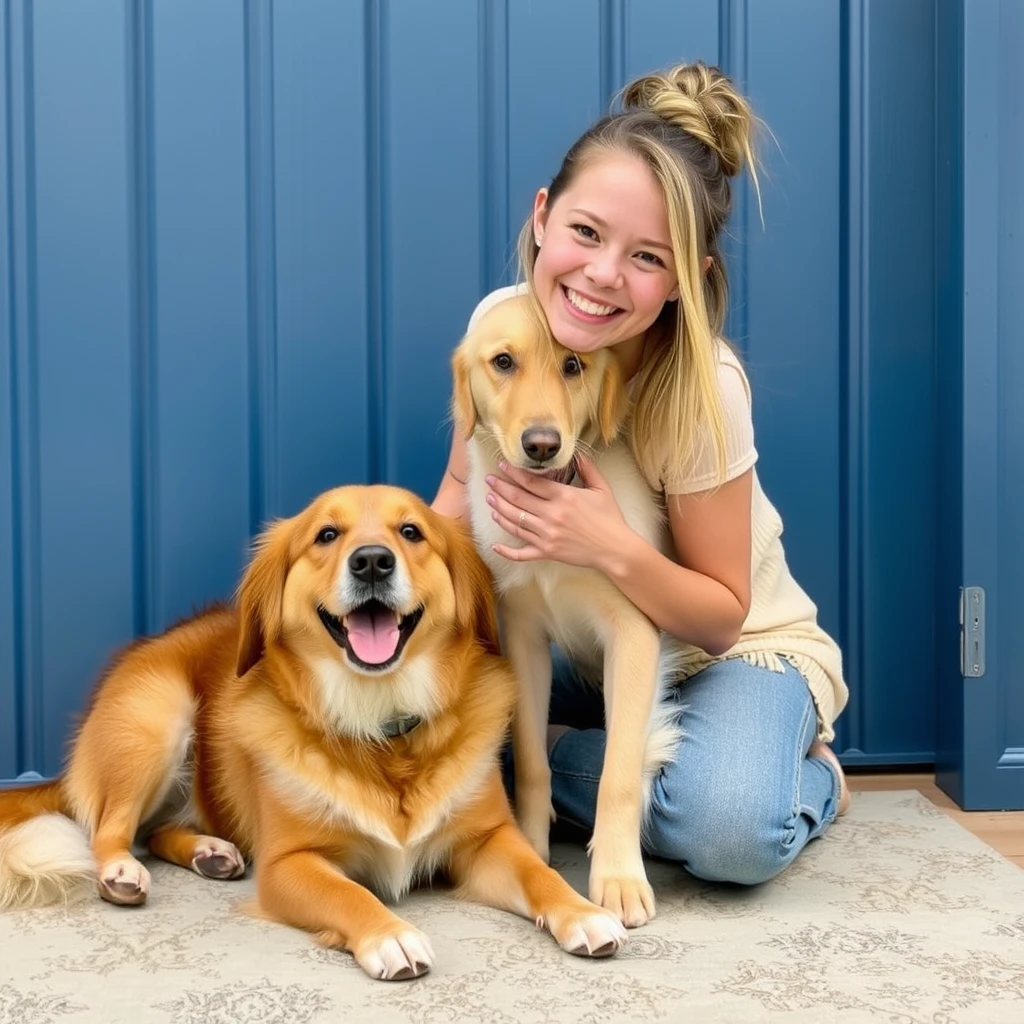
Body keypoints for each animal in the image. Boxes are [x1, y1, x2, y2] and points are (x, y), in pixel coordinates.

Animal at [0, 483, 622, 978]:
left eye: (412, 531)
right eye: (326, 534)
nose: (371, 561)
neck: (382, 721)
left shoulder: (488, 839)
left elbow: (540, 875)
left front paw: (584, 912)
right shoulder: (289, 864)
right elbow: (347, 892)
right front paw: (390, 934)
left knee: (156, 831)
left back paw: (209, 851)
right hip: (157, 716)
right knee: (109, 829)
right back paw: (121, 870)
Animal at [450, 294, 679, 929]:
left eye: (573, 365)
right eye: (503, 362)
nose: (542, 443)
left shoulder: (634, 635)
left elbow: (618, 772)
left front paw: (619, 878)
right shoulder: (521, 635)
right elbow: (531, 762)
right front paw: (529, 848)